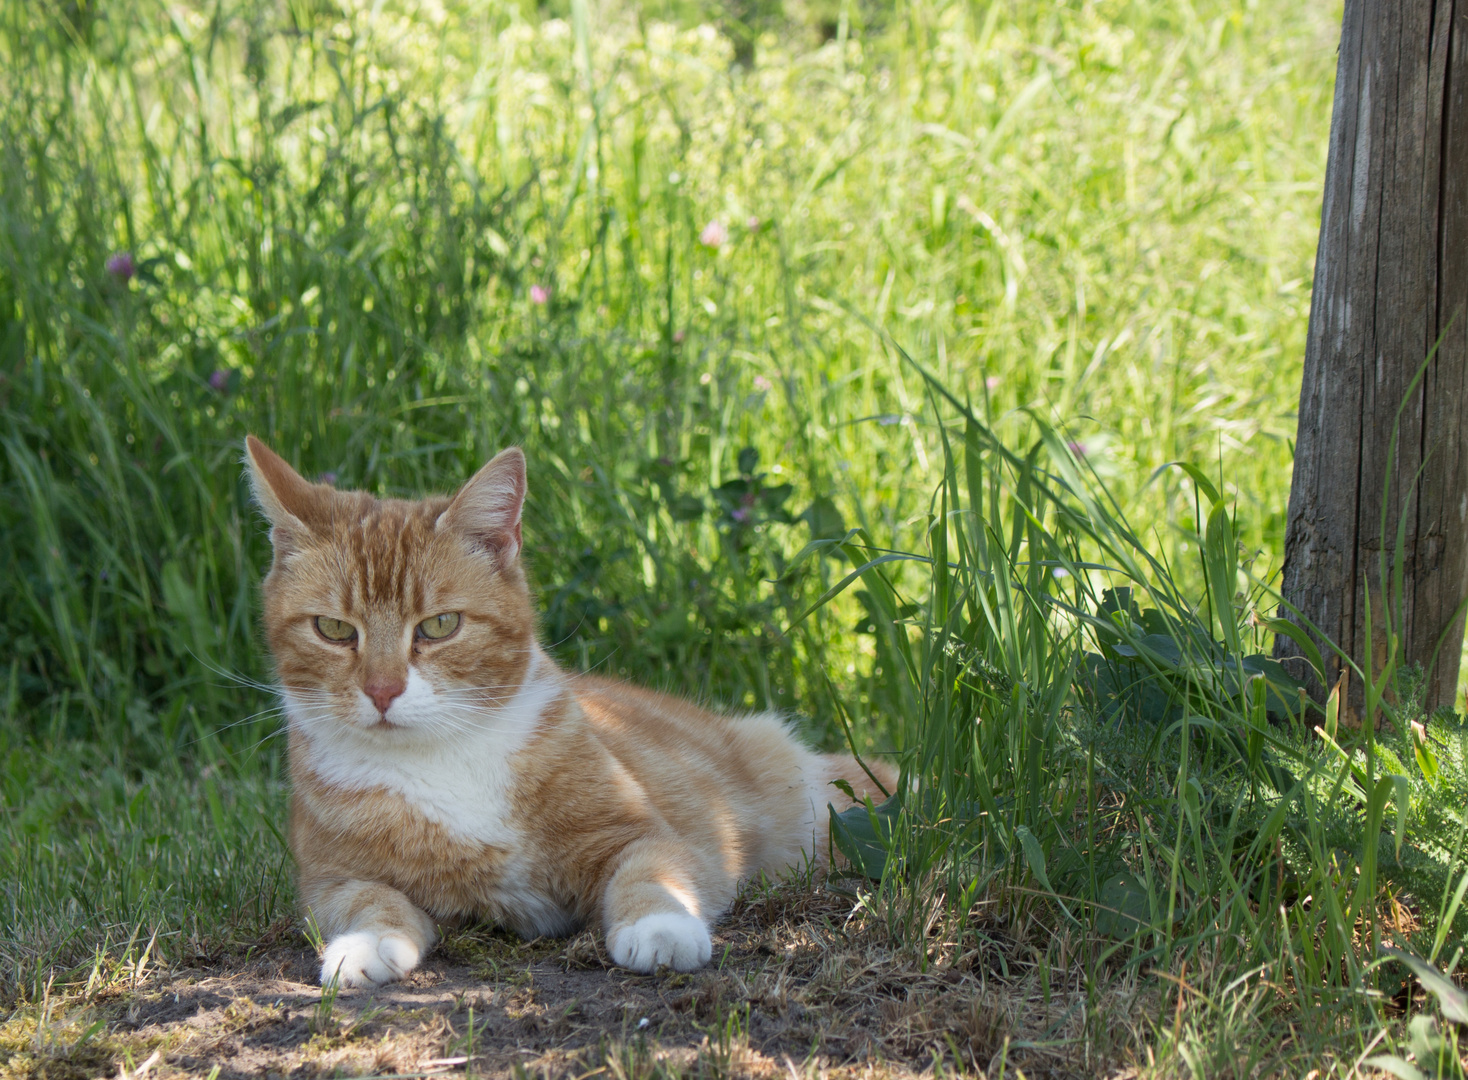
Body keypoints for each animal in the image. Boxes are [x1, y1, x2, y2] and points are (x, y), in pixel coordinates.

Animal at [243, 434, 892, 980]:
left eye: (440, 625)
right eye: (333, 630)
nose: (382, 690)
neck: (442, 761)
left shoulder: (641, 833)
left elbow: (650, 875)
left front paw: (660, 928)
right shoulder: (329, 882)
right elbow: (368, 901)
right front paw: (364, 945)